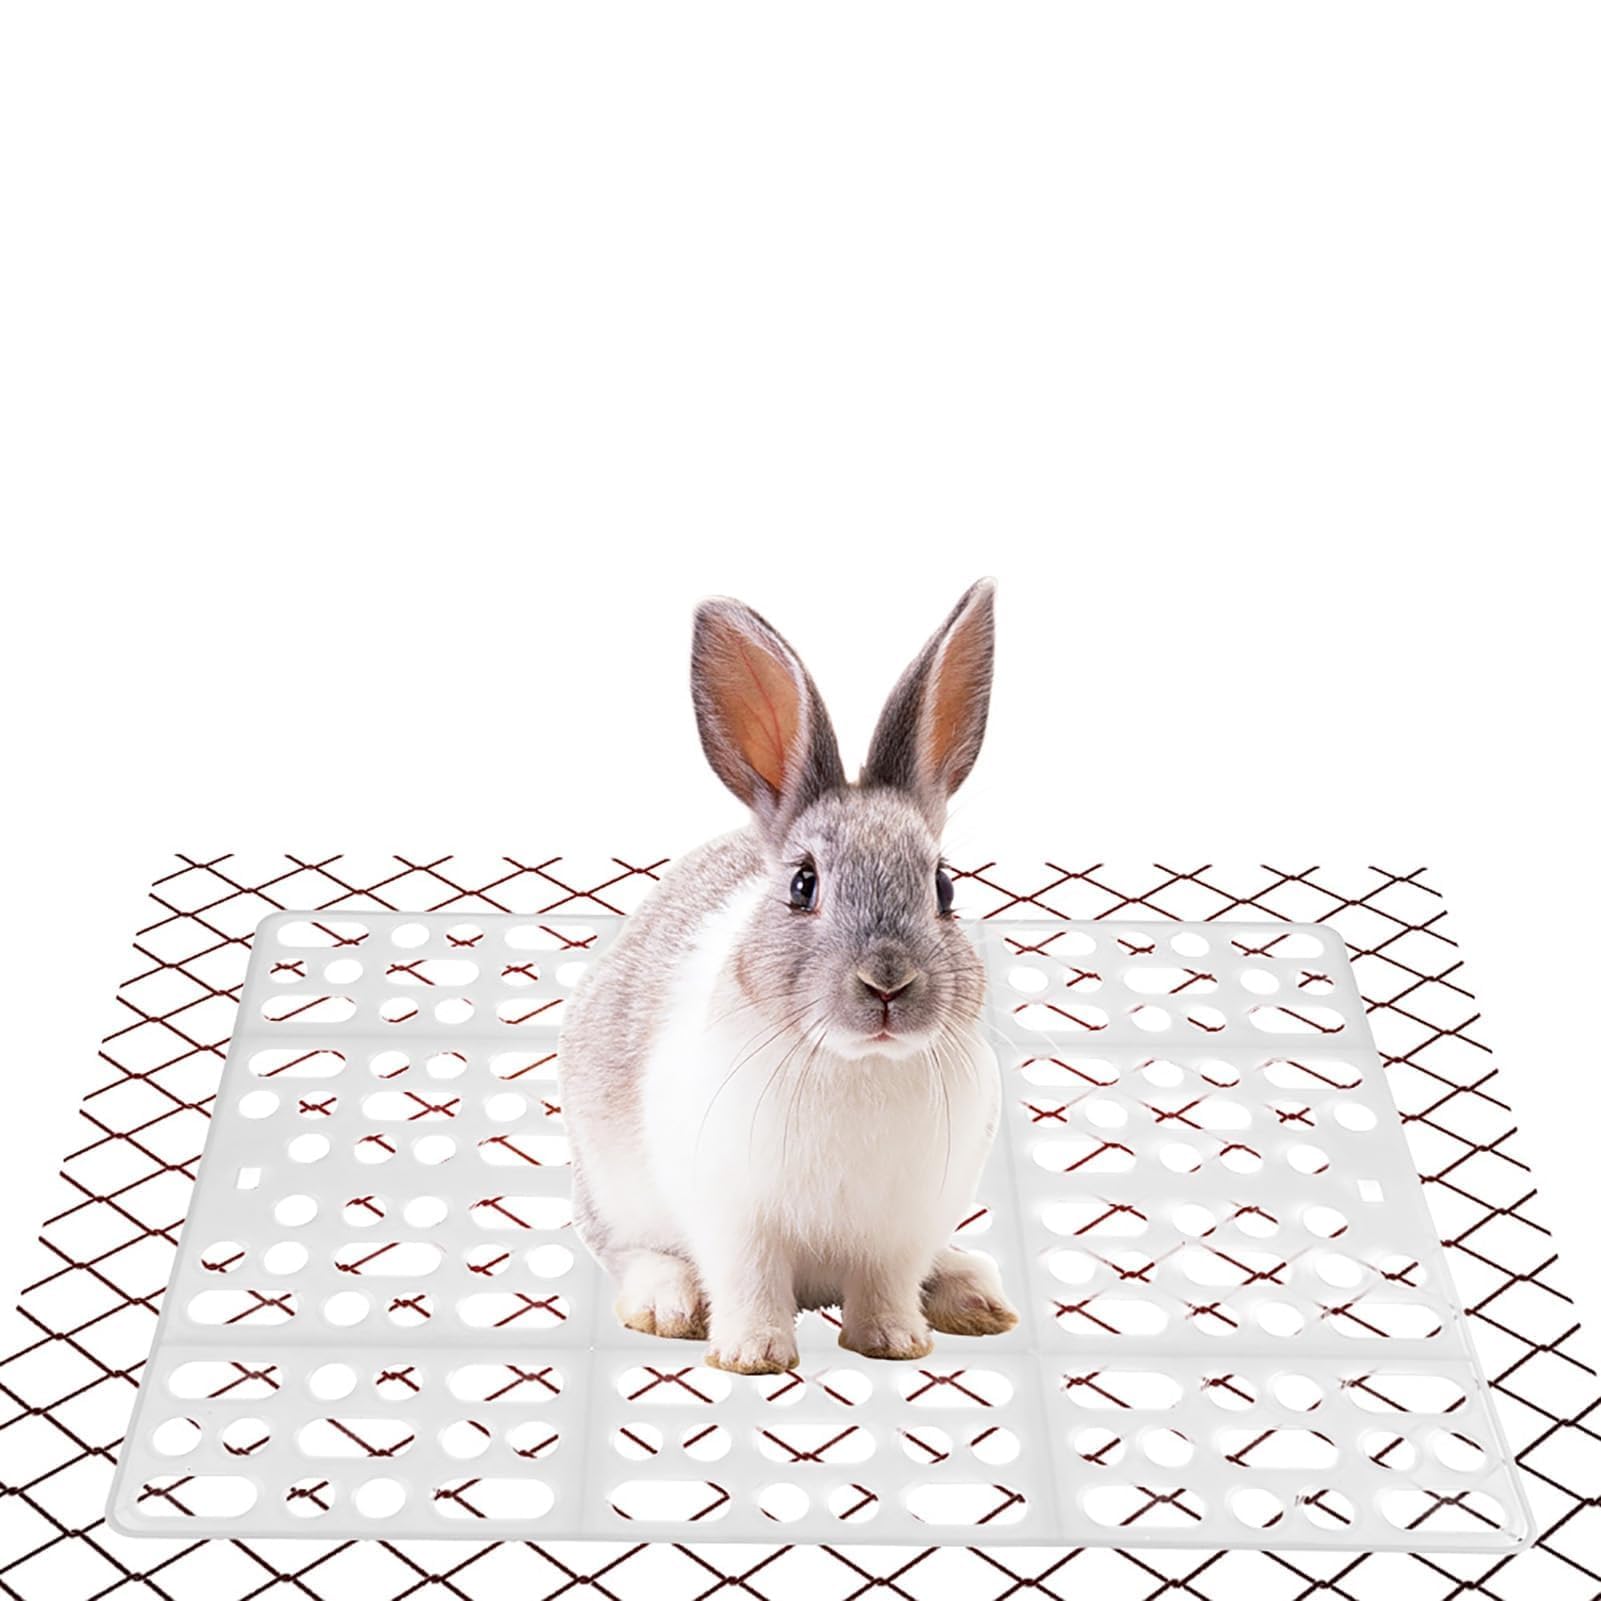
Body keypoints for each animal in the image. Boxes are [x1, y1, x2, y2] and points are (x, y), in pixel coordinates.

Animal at [557, 579, 1017, 1373]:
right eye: (803, 885)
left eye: (944, 887)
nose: (887, 983)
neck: (858, 1064)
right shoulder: (736, 1219)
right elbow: (749, 1281)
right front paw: (753, 1355)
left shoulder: (901, 1228)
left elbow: (887, 1284)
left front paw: (894, 1343)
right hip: (612, 1189)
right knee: (629, 1250)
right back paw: (666, 1302)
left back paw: (970, 1292)